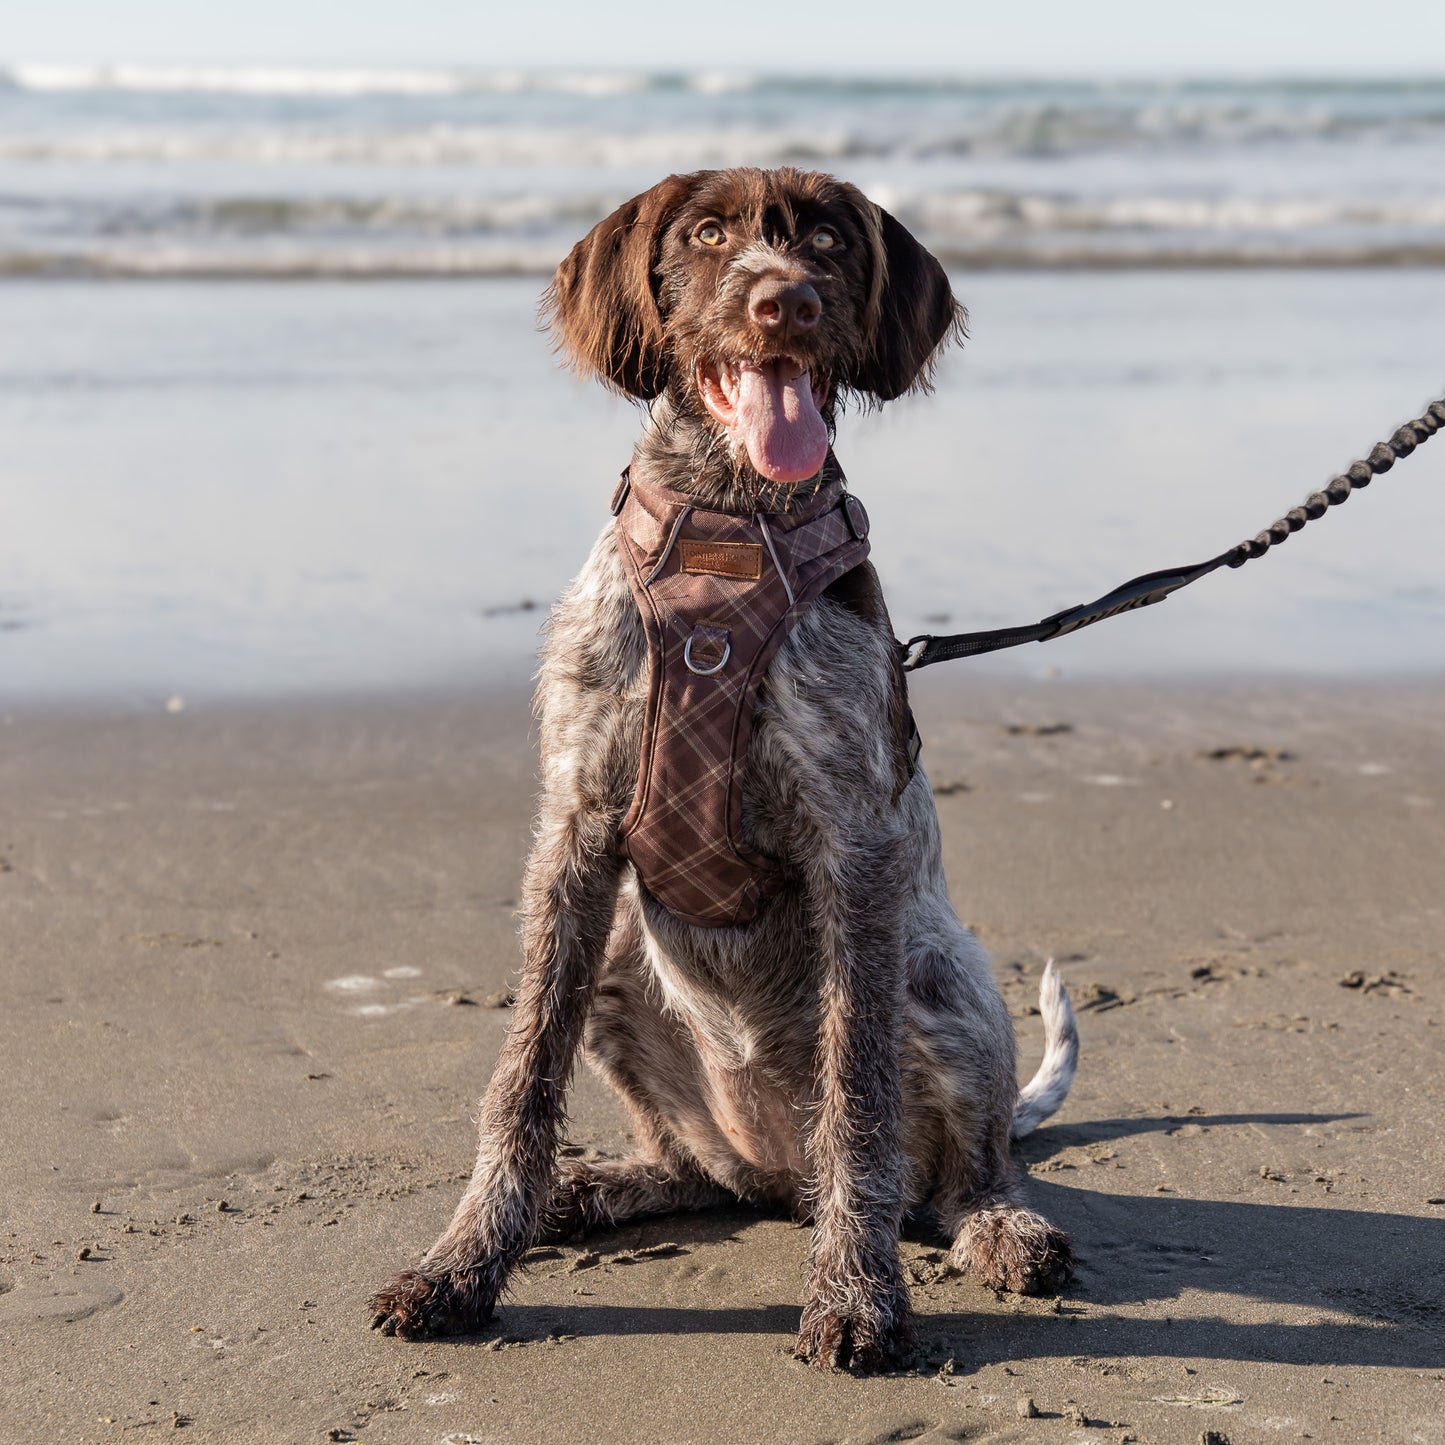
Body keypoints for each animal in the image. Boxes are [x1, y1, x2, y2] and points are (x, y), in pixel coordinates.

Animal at [367, 166, 1080, 1364]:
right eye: (704, 234)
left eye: (830, 240)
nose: (783, 302)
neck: (725, 530)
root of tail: (775, 1170)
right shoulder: (575, 833)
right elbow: (520, 1085)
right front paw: (462, 1263)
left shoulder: (854, 848)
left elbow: (859, 1107)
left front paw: (856, 1290)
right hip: (620, 963)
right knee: (701, 1172)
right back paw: (599, 1186)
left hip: (941, 976)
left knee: (955, 1173)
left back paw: (998, 1226)